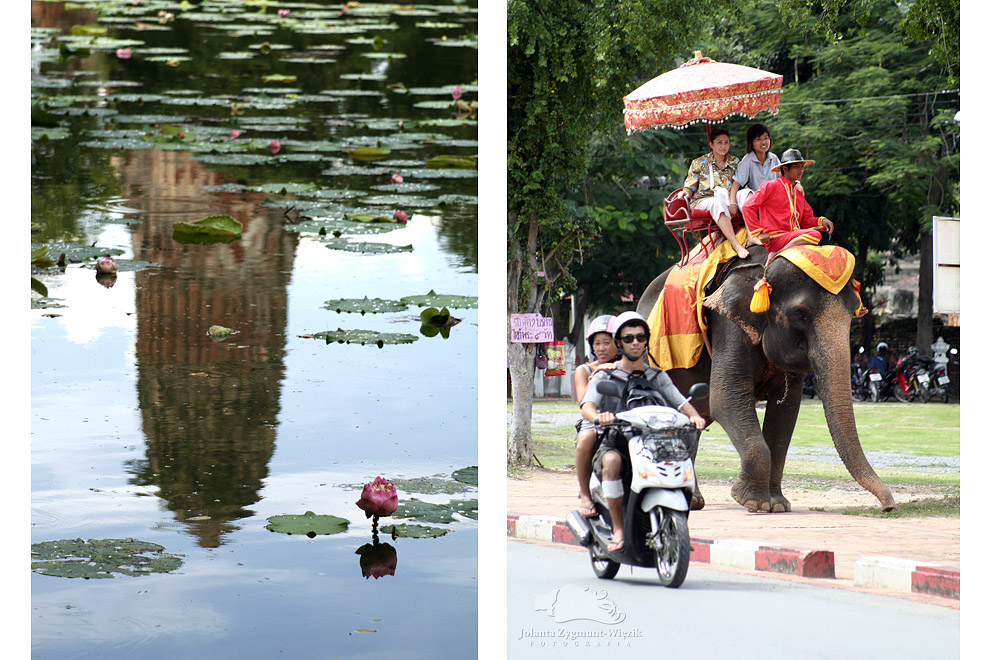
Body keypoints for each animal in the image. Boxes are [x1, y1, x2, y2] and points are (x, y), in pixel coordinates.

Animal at [640, 245, 904, 512]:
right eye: (800, 315)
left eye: (853, 314)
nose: (888, 506)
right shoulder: (729, 325)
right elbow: (726, 397)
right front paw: (754, 502)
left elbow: (786, 412)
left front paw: (777, 505)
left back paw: (691, 501)